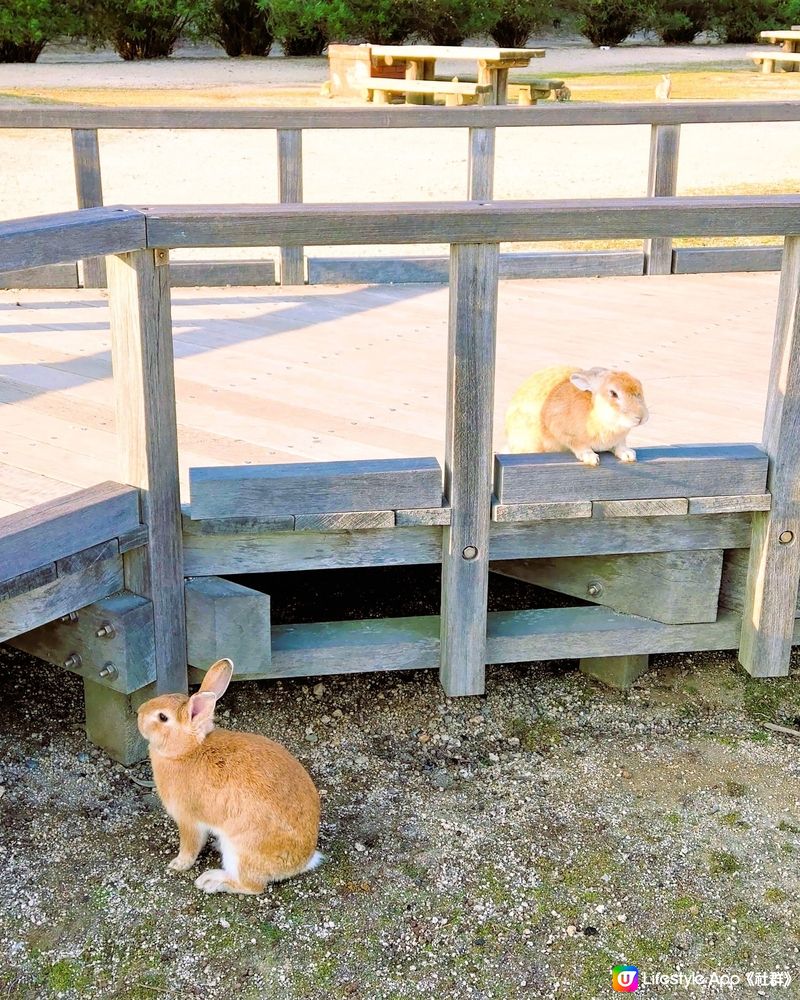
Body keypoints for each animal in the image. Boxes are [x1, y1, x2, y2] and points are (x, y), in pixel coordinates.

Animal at [138, 660, 322, 896]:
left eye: (162, 717)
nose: (139, 713)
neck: (187, 751)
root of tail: (303, 862)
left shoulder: (187, 819)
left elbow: (190, 846)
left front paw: (178, 864)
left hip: (240, 849)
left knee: (252, 886)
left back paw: (211, 881)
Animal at [506, 364, 648, 464]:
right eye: (613, 393)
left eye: (639, 385)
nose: (641, 417)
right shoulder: (564, 432)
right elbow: (578, 445)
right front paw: (591, 458)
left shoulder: (619, 440)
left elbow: (620, 446)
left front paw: (629, 455)